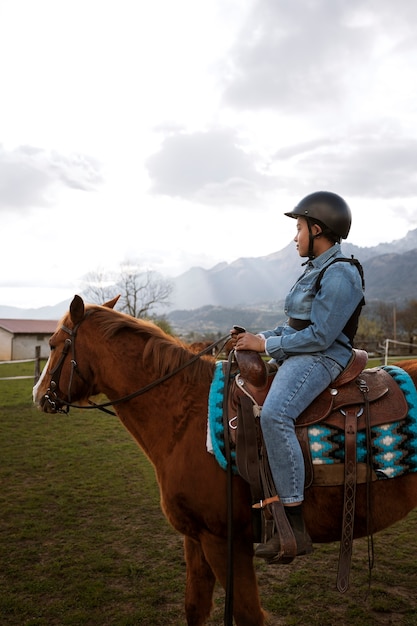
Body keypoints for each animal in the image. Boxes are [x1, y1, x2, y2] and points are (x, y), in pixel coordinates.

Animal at [33, 296, 417, 624]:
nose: (38, 395)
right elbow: (195, 607)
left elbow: (247, 615)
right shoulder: (196, 537)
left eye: (53, 345)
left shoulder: (224, 541)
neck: (186, 416)